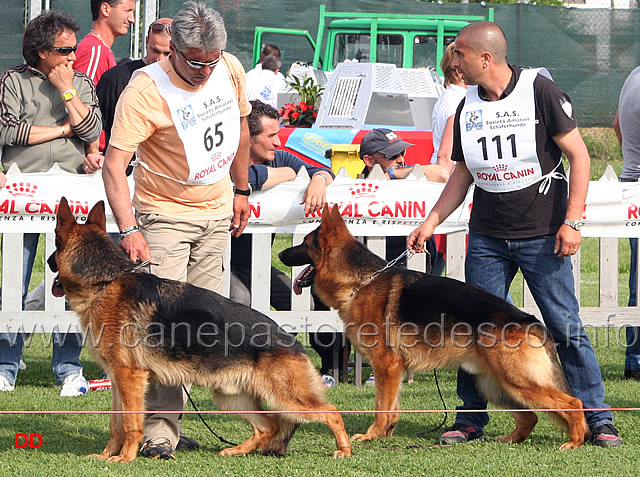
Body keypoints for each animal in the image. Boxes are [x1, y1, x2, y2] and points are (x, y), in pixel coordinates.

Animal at [47, 197, 352, 462]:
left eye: (55, 246)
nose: (48, 262)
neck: (104, 282)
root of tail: (294, 343)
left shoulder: (130, 377)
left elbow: (131, 423)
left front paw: (125, 458)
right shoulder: (117, 380)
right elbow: (116, 423)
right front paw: (108, 454)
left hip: (284, 398)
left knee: (331, 412)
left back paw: (344, 450)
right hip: (231, 398)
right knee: (269, 427)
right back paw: (236, 451)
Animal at [278, 205, 588, 450]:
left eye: (303, 243)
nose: (280, 254)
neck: (360, 281)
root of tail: (530, 321)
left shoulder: (386, 365)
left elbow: (381, 406)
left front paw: (371, 436)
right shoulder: (393, 370)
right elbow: (391, 408)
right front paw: (385, 435)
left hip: (517, 381)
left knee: (573, 402)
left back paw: (575, 441)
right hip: (497, 384)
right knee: (530, 416)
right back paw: (511, 440)